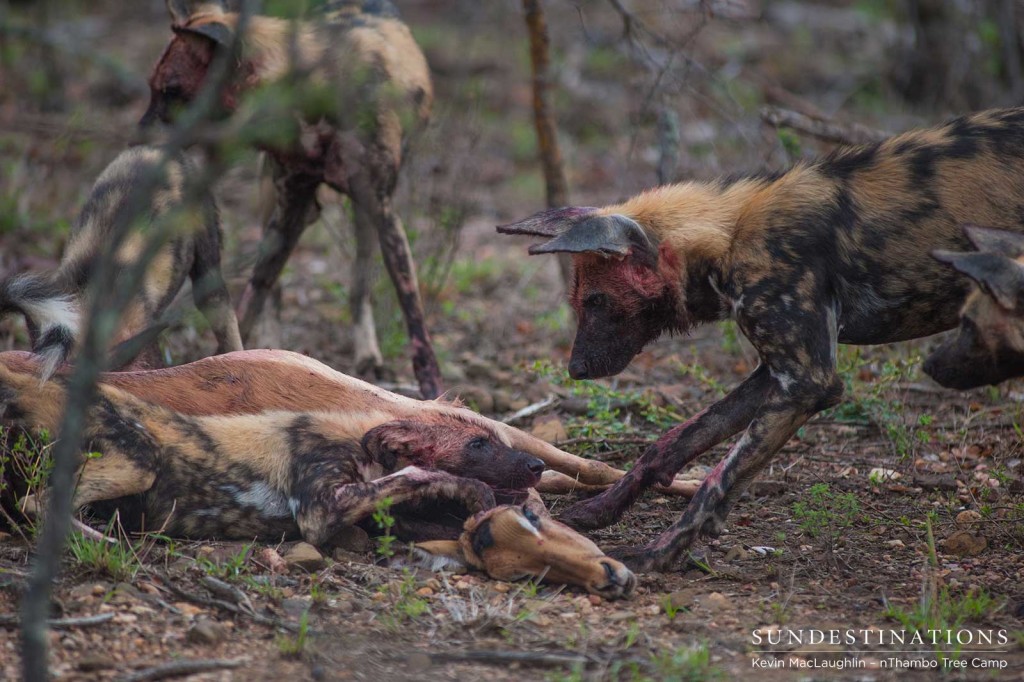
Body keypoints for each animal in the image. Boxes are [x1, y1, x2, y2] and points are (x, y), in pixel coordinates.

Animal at [0, 358, 544, 544]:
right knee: (37, 503)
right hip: (139, 462)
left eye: (494, 442)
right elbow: (415, 474)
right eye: (477, 446)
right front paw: (470, 489)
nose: (536, 466)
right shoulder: (321, 513)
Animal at [140, 0, 440, 399]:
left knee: (359, 282)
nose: (136, 138)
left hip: (363, 215)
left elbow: (414, 317)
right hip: (273, 199)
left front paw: (435, 390)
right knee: (273, 292)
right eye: (152, 89)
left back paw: (366, 351)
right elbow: (250, 301)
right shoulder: (290, 211)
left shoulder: (383, 212)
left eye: (171, 90)